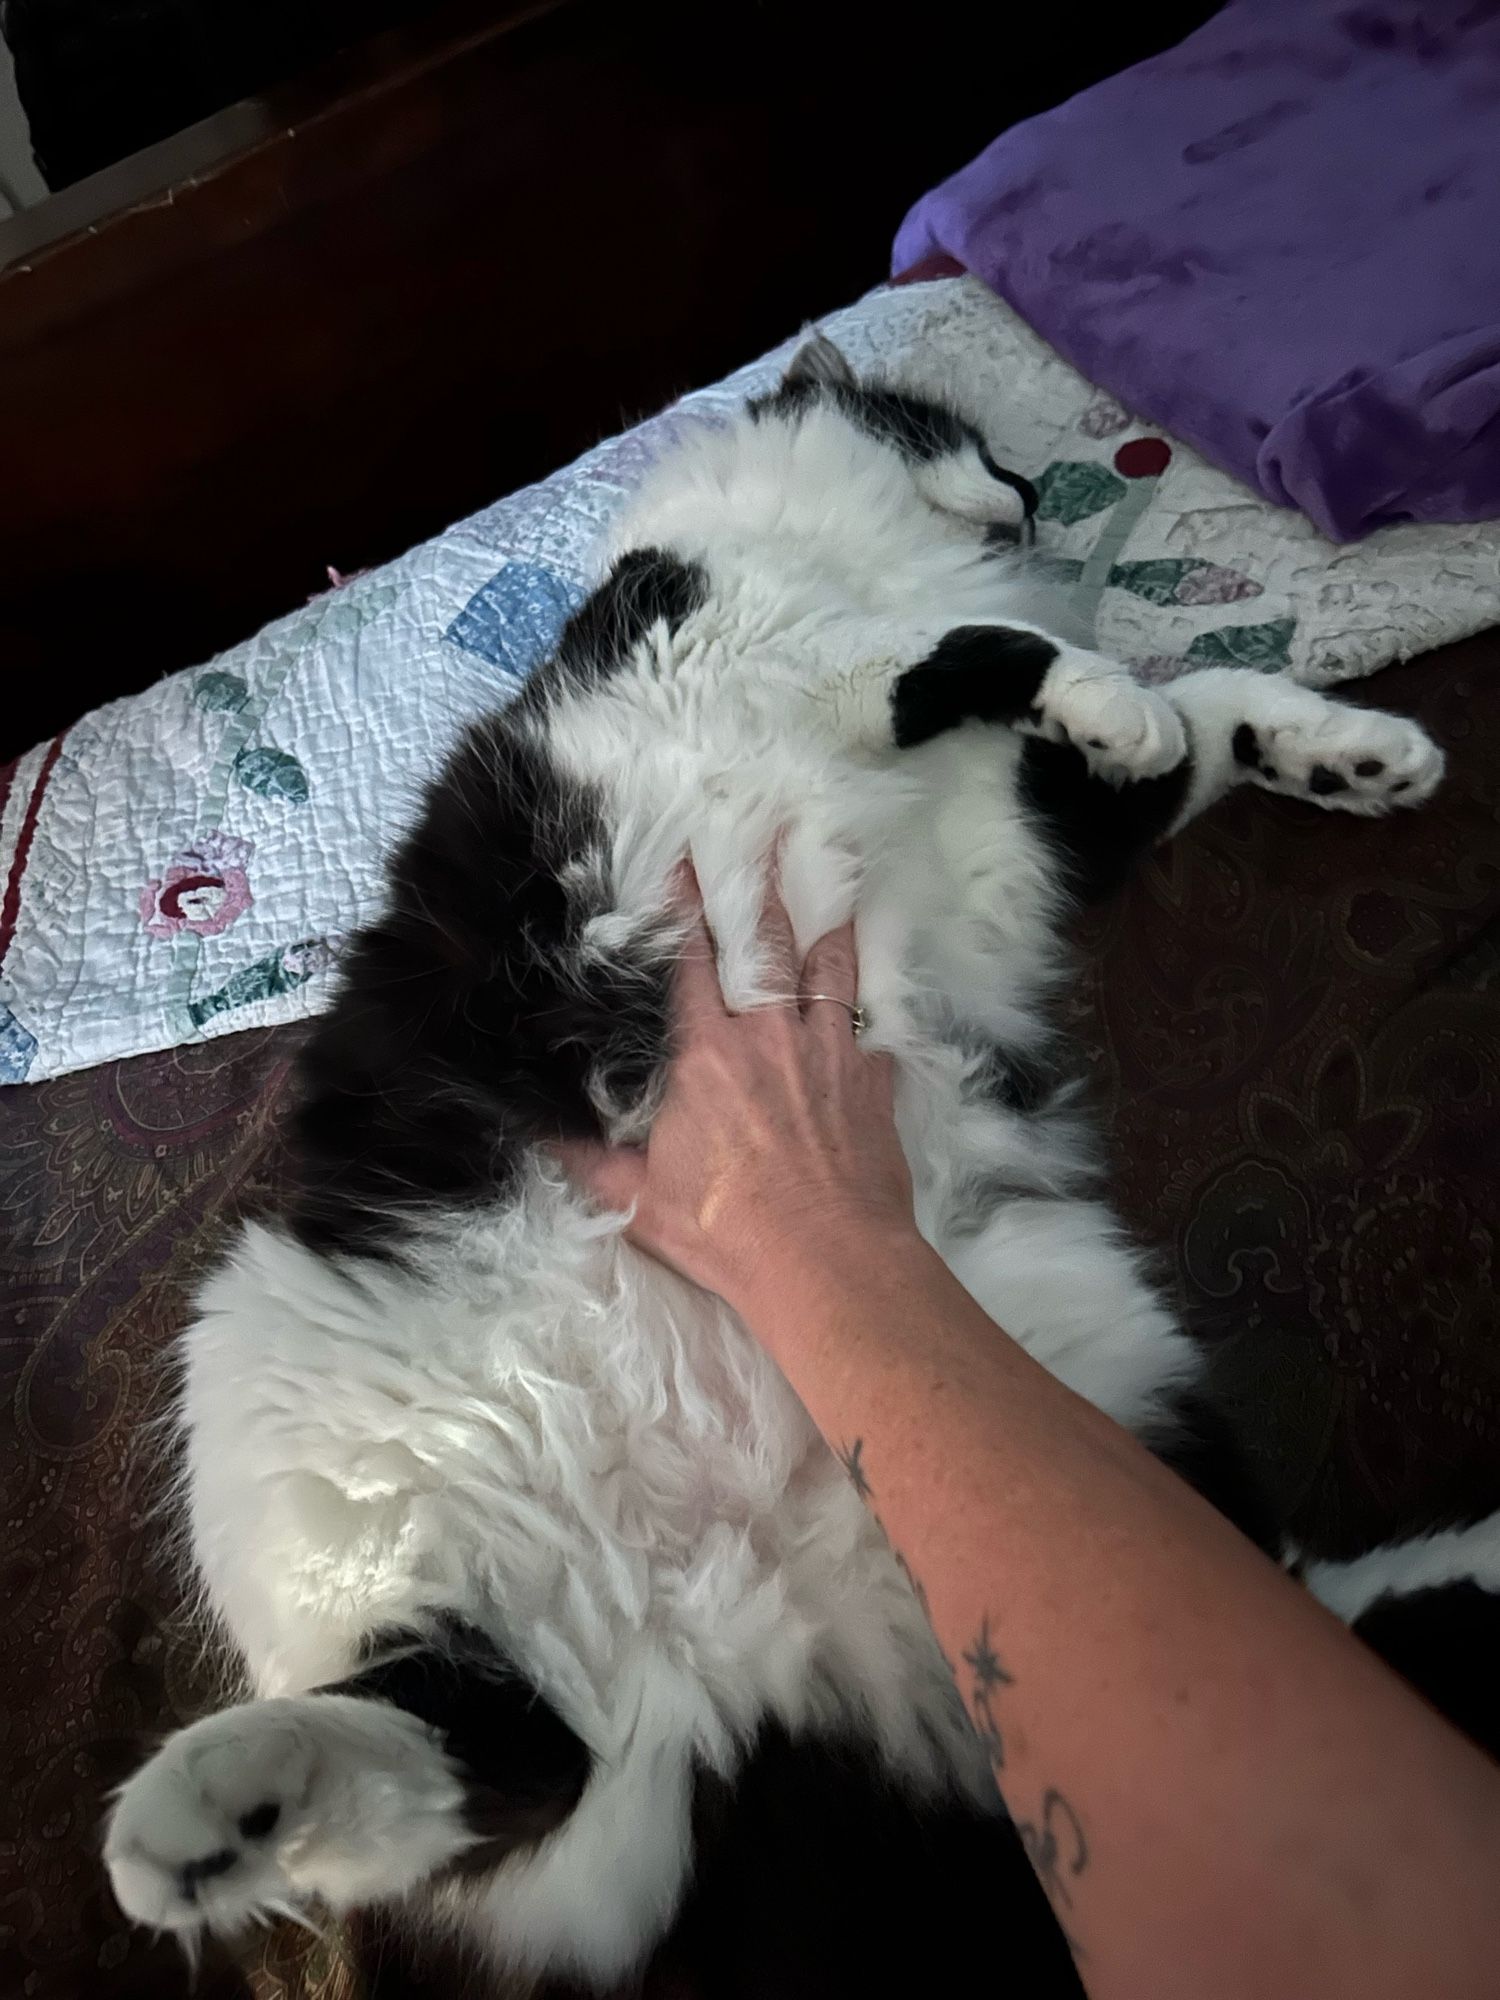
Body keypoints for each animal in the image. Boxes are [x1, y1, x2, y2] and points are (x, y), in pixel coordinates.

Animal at [106, 340, 1500, 1984]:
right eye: (958, 436)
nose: (1030, 497)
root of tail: (708, 1633)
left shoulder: (1036, 822)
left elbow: (1199, 709)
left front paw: (1355, 753)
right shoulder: (734, 650)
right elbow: (980, 648)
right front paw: (1116, 687)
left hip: (1087, 1395)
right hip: (279, 1399)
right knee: (470, 1758)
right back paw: (201, 1819)